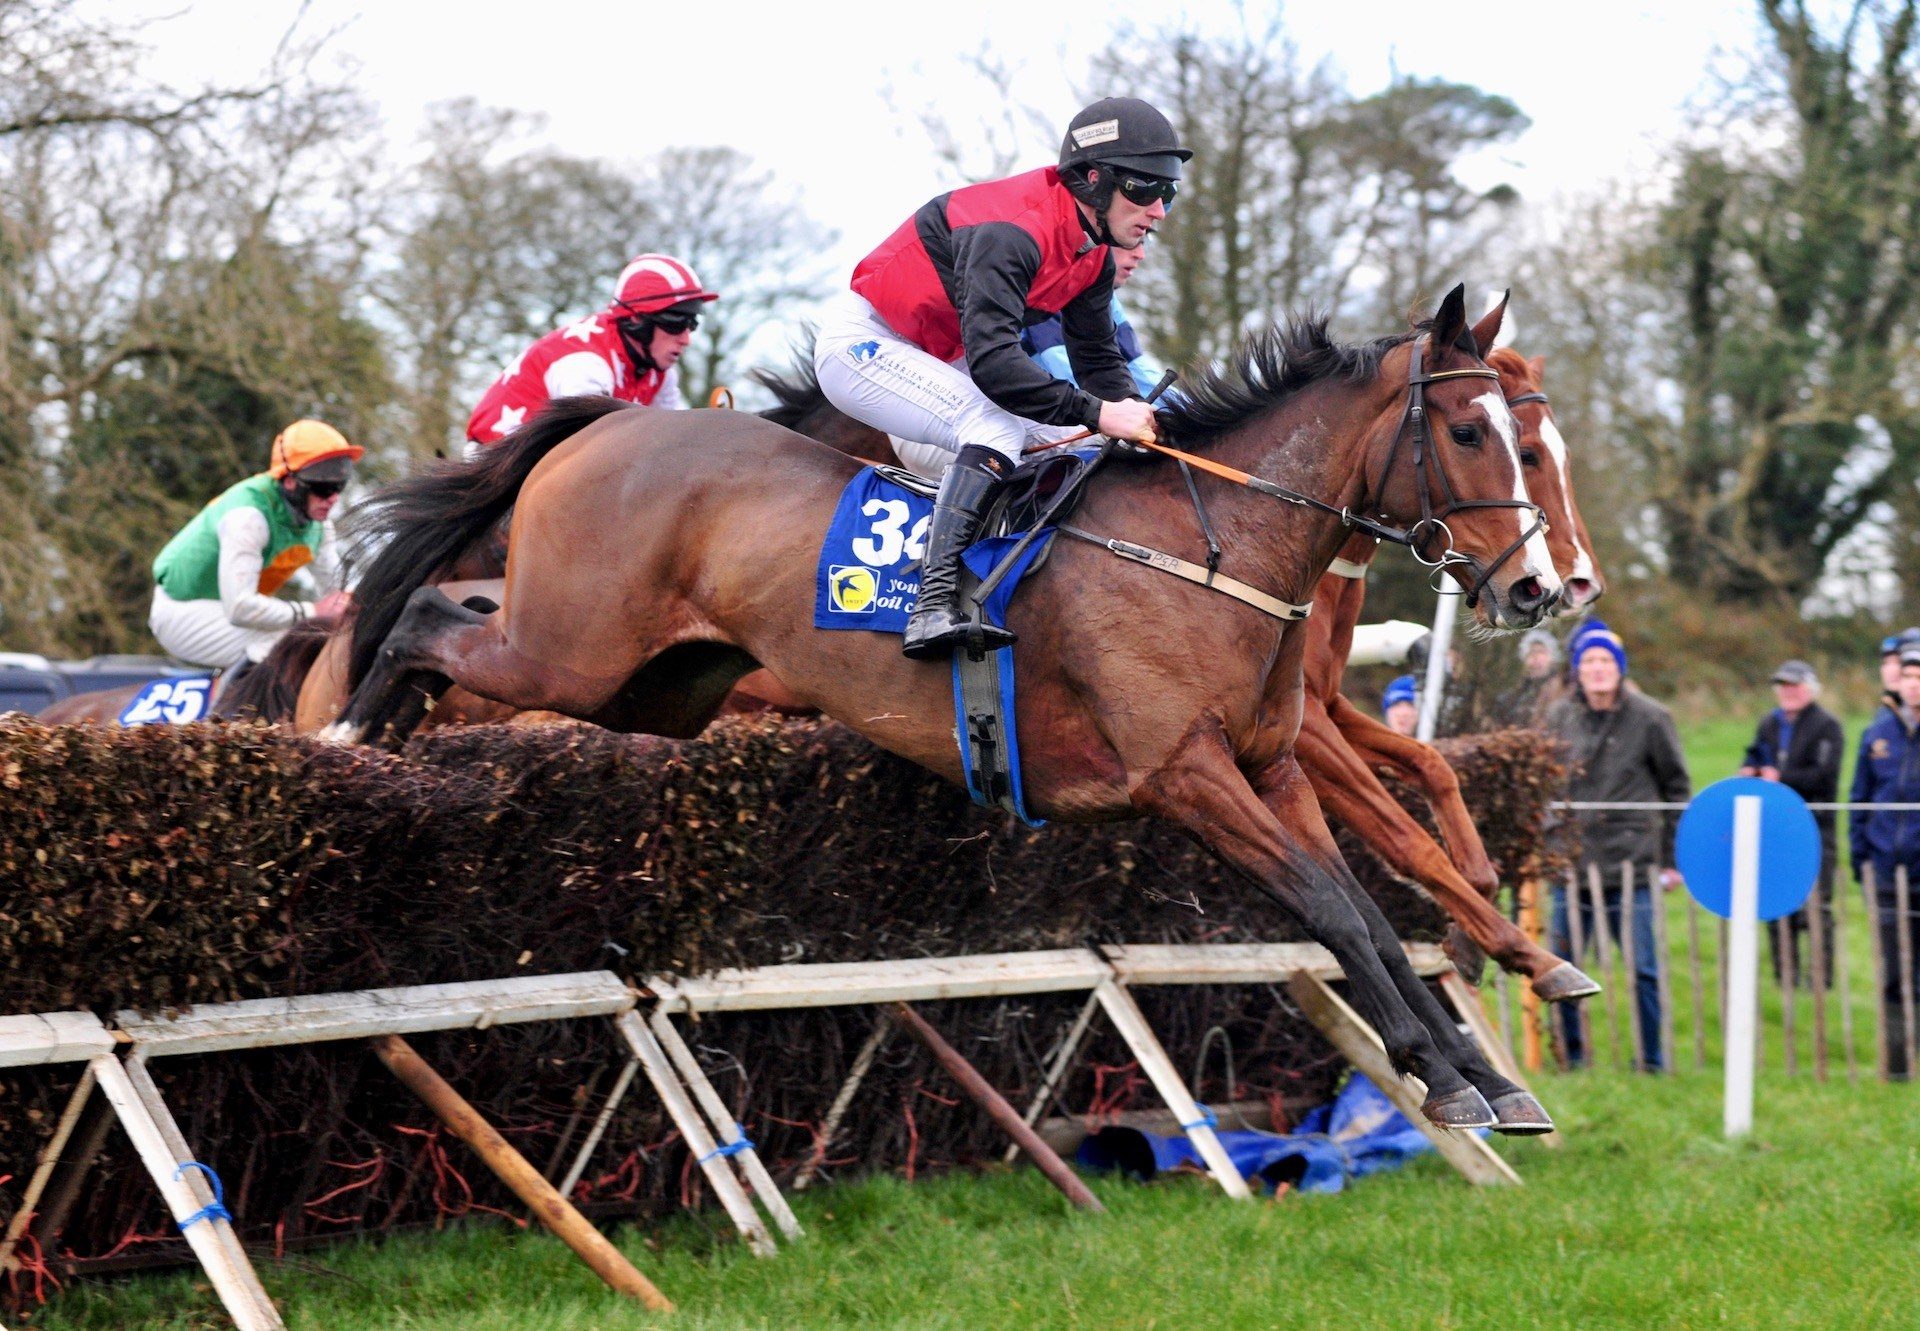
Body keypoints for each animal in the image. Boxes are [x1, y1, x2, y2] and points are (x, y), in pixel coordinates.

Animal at [322, 286, 1566, 1129]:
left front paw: (1477, 1071)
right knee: (425, 607)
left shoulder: (1273, 768)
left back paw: (370, 730)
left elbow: (1367, 907)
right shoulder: (1185, 775)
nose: (1537, 587)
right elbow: (1335, 908)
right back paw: (346, 732)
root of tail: (610, 422)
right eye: (1473, 432)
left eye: (1524, 437)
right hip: (569, 653)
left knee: (453, 608)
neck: (1205, 544)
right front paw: (1455, 1073)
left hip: (649, 685)